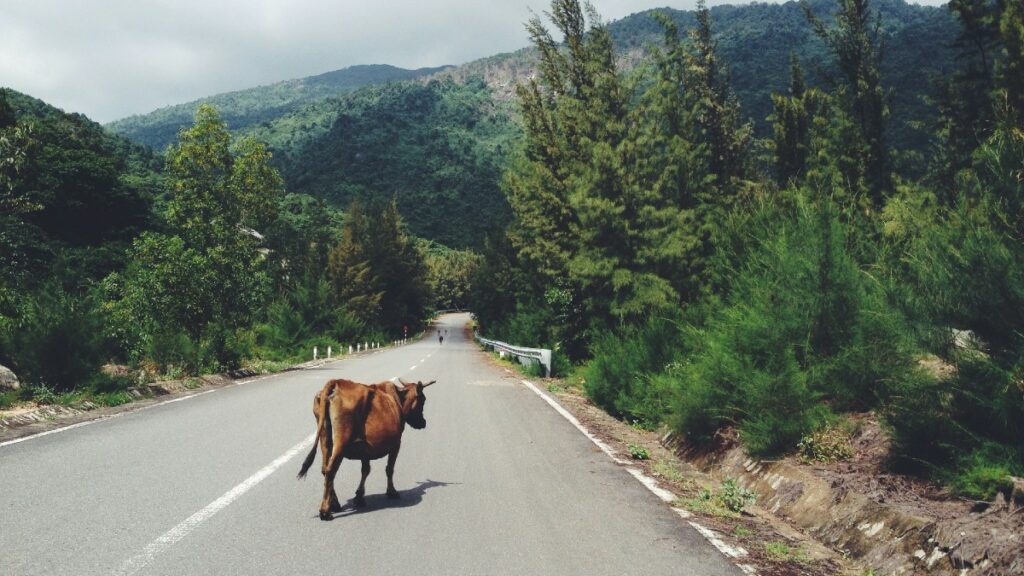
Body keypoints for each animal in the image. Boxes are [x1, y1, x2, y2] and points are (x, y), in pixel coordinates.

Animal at [296, 375, 432, 518]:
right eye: (423, 400)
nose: (423, 423)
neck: (398, 400)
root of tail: (336, 382)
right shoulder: (396, 443)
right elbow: (389, 469)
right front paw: (391, 491)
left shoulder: (365, 448)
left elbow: (365, 470)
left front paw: (359, 497)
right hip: (341, 440)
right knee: (330, 470)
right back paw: (325, 511)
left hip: (324, 435)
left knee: (325, 468)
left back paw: (335, 504)